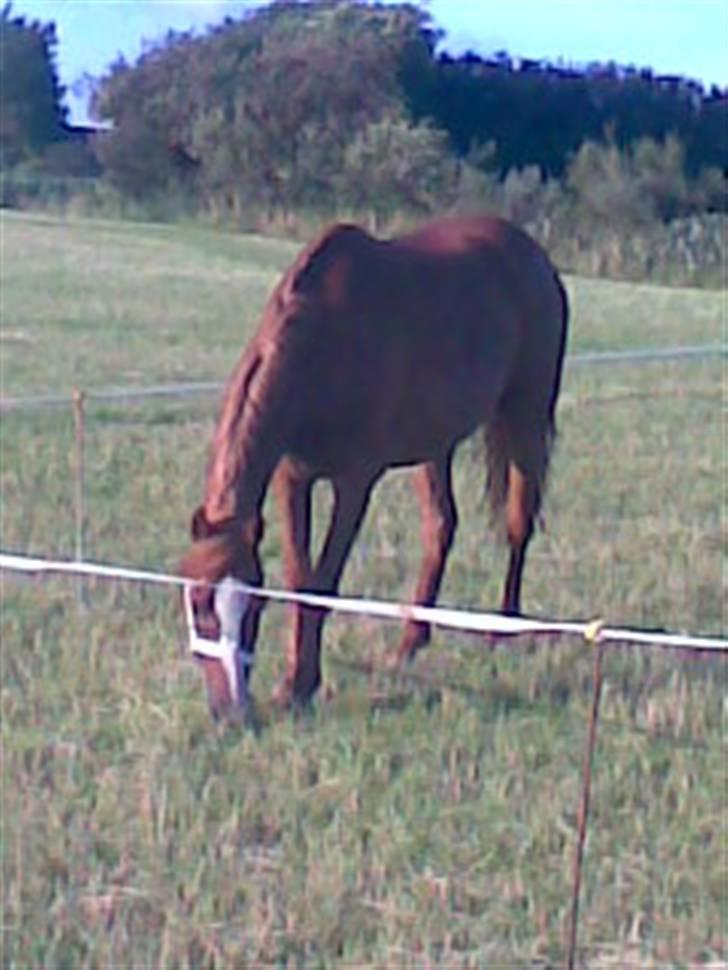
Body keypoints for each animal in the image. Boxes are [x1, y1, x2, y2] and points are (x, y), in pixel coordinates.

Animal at [181, 219, 568, 720]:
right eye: (197, 602)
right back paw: (409, 643)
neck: (322, 346)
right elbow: (300, 575)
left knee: (518, 524)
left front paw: (300, 686)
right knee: (441, 527)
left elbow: (323, 583)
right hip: (435, 444)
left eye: (253, 609)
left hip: (526, 416)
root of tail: (534, 254)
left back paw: (499, 632)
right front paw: (295, 680)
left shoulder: (354, 483)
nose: (231, 712)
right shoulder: (294, 478)